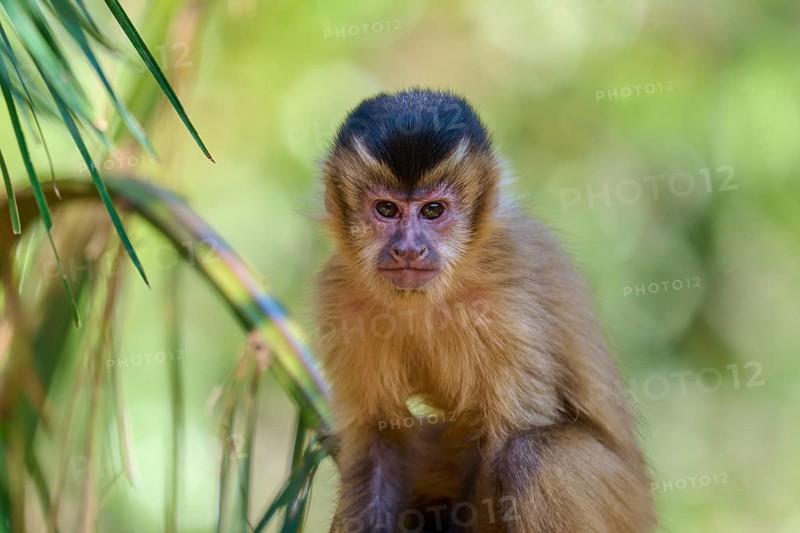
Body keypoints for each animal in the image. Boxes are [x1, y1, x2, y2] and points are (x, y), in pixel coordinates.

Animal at [314, 88, 655, 532]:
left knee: (533, 457)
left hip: (625, 503)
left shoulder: (504, 303)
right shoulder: (338, 299)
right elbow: (379, 439)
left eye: (433, 211)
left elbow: (503, 439)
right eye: (386, 210)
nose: (409, 249)